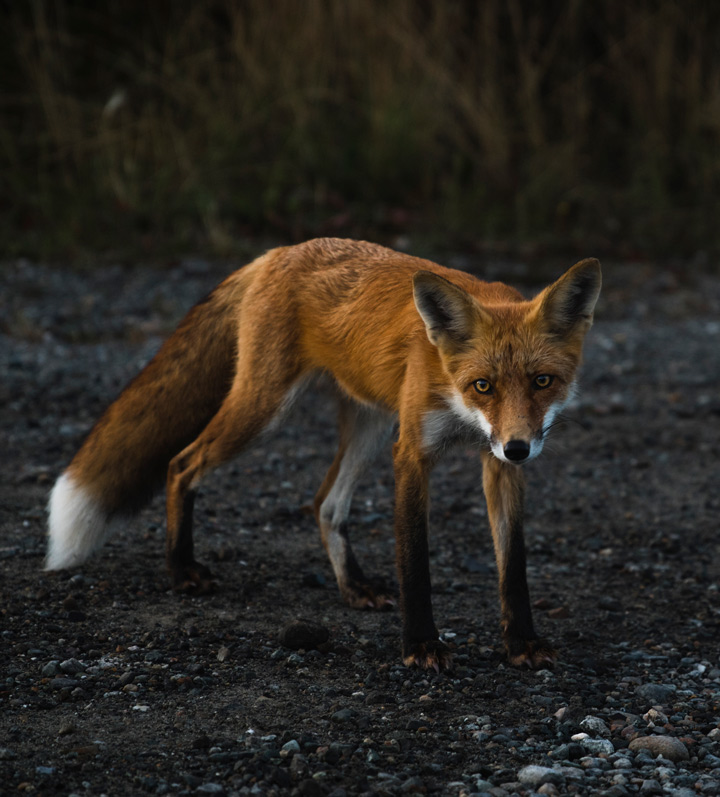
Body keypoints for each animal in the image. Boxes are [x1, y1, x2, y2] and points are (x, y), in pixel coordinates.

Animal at [46, 238, 600, 672]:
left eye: (542, 381)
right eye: (483, 385)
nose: (518, 448)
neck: (462, 408)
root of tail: (279, 252)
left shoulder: (496, 463)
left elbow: (513, 565)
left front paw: (522, 642)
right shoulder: (412, 454)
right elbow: (415, 562)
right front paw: (420, 645)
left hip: (369, 424)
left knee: (325, 504)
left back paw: (353, 586)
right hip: (264, 409)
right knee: (181, 464)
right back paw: (182, 569)